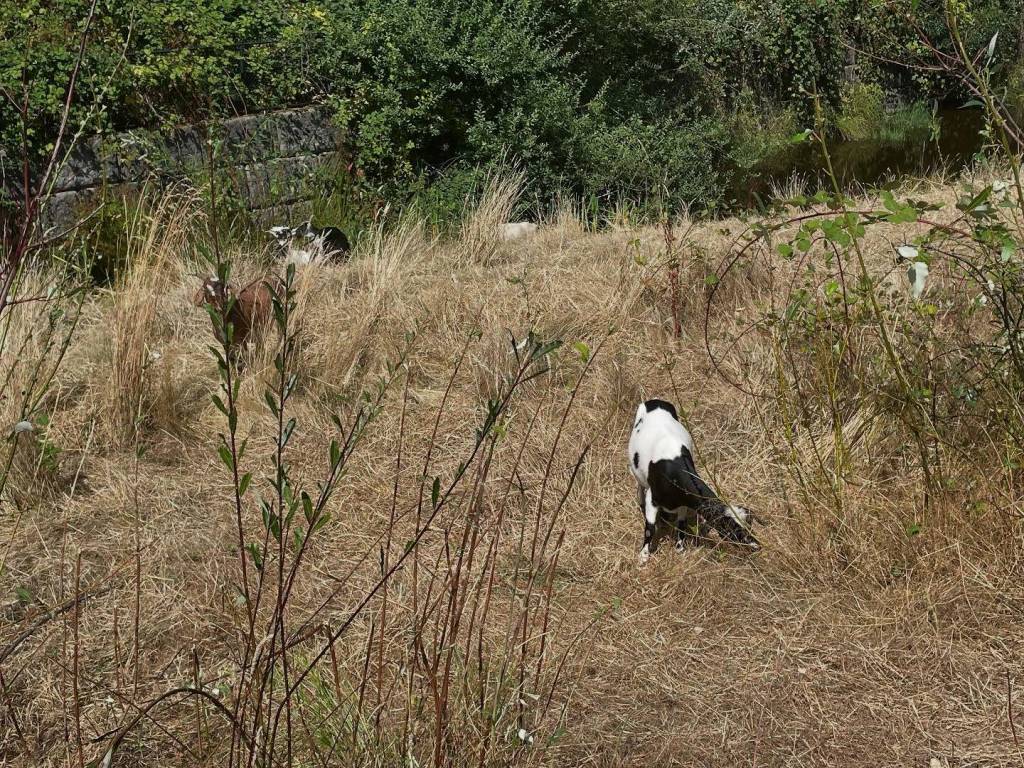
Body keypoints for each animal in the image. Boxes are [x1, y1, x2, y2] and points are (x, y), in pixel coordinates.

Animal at [628, 399, 759, 564]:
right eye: (732, 530)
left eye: (749, 525)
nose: (756, 545)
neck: (673, 473)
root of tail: (655, 401)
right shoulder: (653, 498)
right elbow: (649, 529)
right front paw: (643, 555)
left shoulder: (684, 502)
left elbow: (681, 524)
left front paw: (680, 548)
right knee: (640, 484)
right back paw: (641, 501)